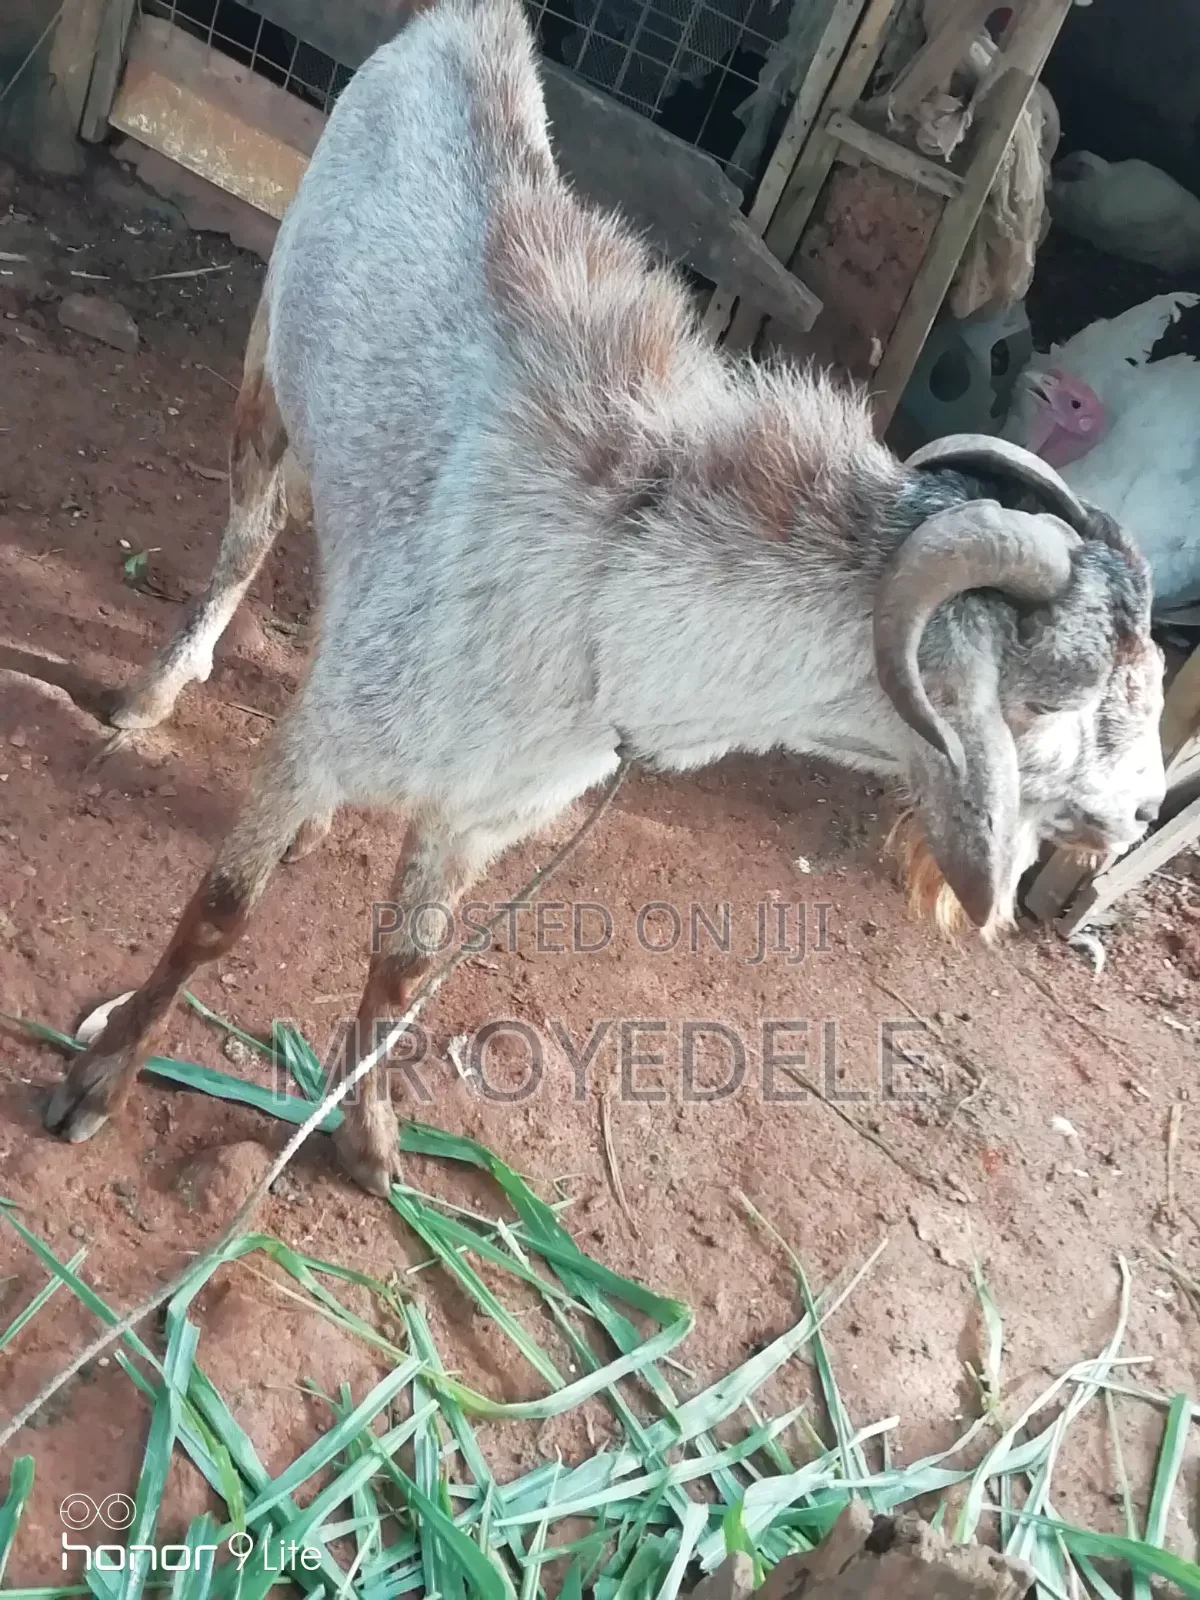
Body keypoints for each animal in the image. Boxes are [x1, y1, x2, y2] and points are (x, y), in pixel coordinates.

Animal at [44, 0, 1166, 1195]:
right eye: (1062, 694)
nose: (1147, 810)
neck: (610, 580)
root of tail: (470, 27)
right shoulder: (331, 741)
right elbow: (219, 913)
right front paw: (98, 1080)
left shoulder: (487, 814)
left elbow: (405, 968)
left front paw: (371, 1140)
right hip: (270, 361)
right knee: (248, 540)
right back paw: (149, 698)